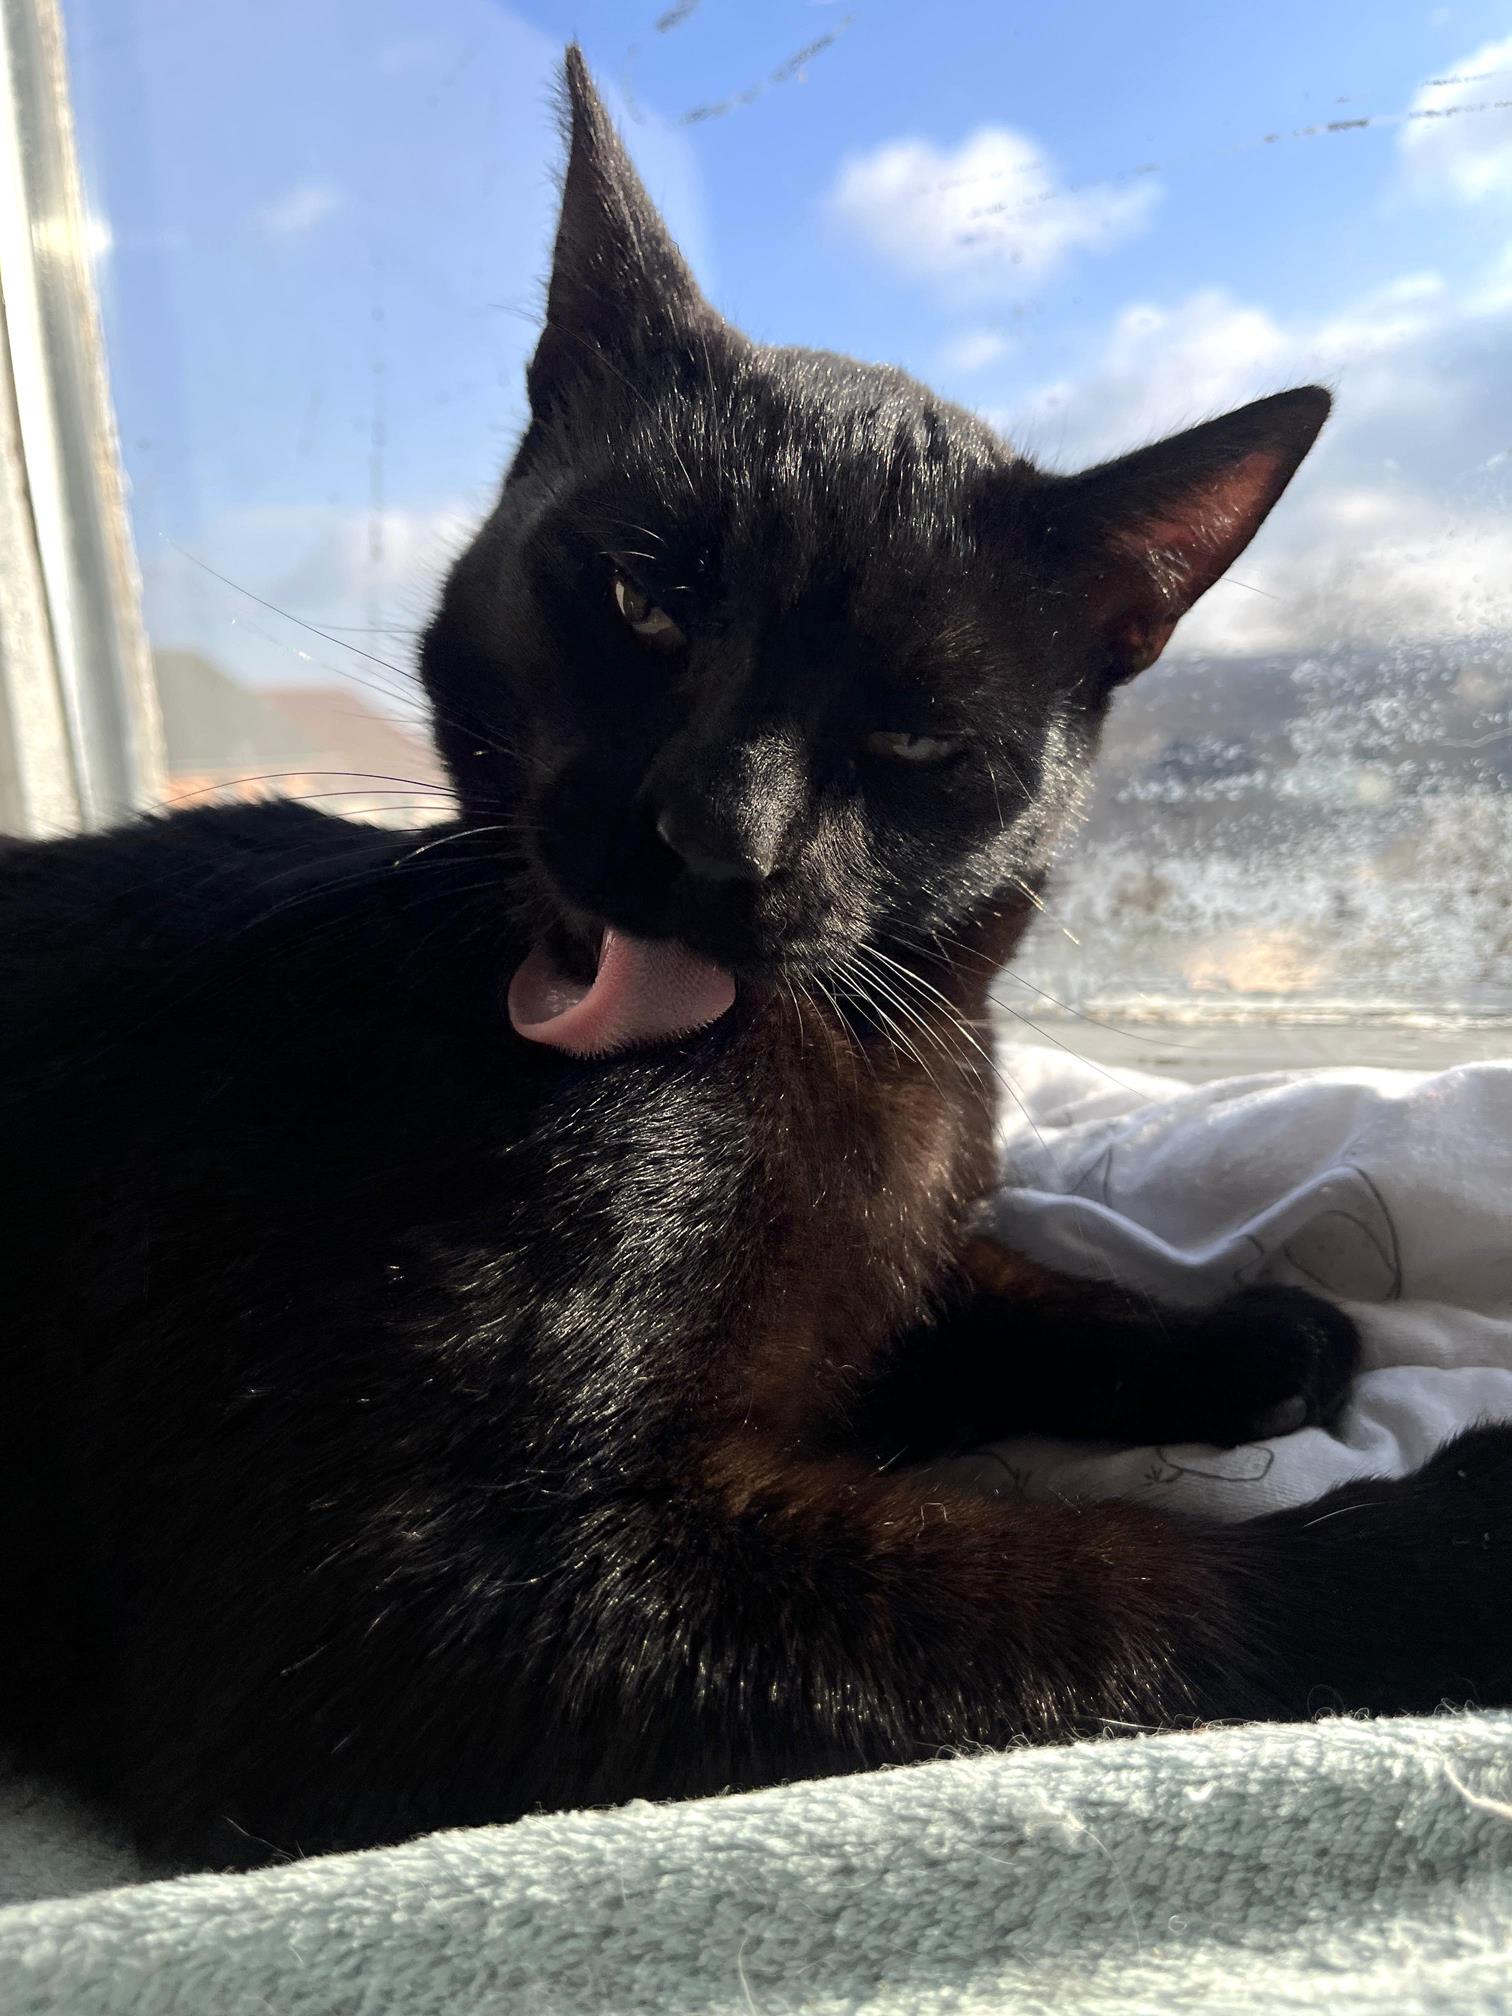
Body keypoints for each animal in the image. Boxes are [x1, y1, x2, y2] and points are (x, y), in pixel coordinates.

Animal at [2, 48, 1509, 1871]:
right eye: (645, 601)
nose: (719, 837)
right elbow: (1075, 1584)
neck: (876, 1062)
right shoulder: (370, 1605)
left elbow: (973, 1280)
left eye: (917, 735)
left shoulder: (890, 1256)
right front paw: (1449, 1542)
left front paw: (1241, 1334)